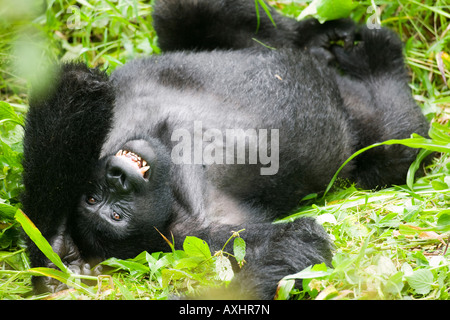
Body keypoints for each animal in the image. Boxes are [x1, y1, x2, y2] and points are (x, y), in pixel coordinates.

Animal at [21, 0, 428, 300]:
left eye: (95, 197)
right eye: (109, 211)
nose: (117, 177)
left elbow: (68, 98)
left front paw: (55, 247)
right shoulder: (197, 236)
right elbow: (293, 246)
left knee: (188, 11)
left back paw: (318, 39)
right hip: (366, 122)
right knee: (400, 145)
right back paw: (379, 61)